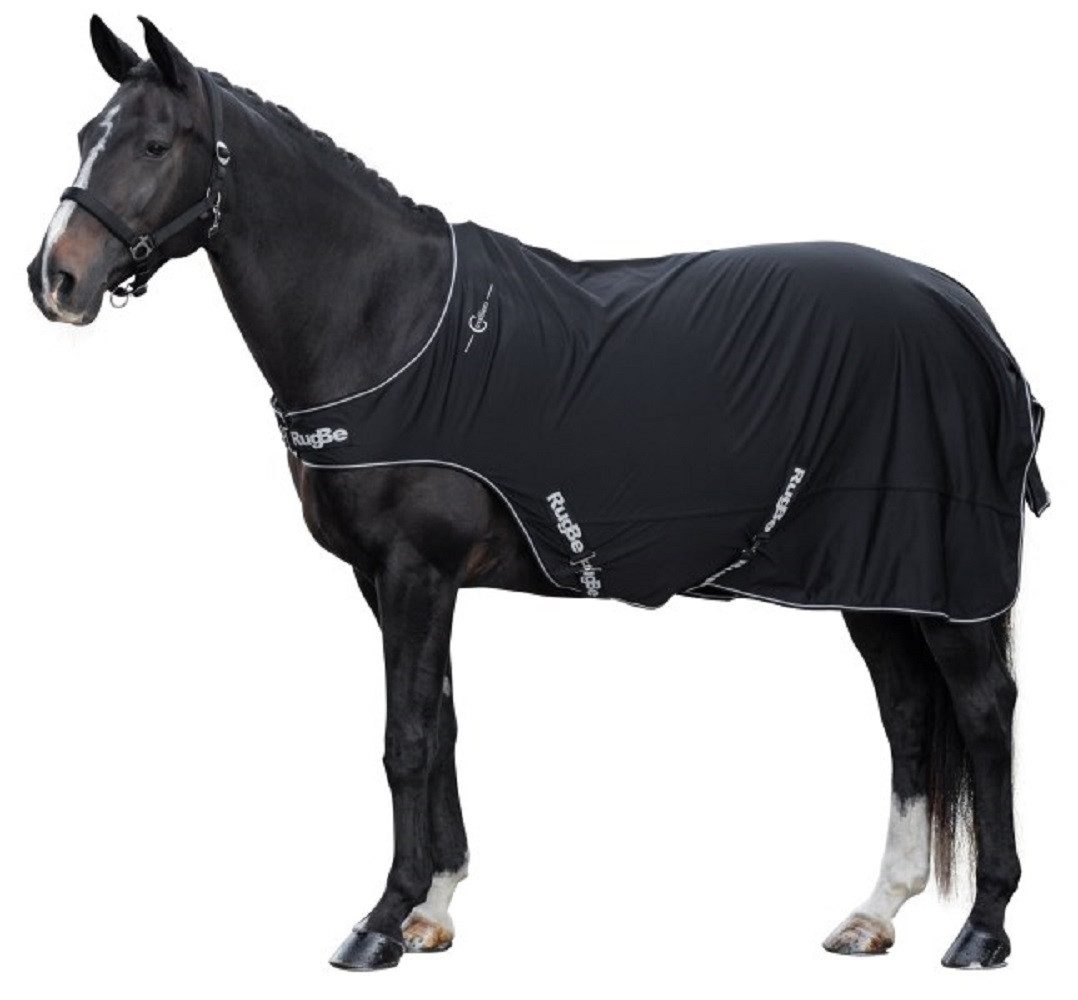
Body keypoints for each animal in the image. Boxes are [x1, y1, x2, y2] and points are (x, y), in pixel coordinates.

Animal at [28, 16, 1047, 972]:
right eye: (85, 133)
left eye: (155, 144)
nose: (55, 278)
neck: (388, 320)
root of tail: (970, 318)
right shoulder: (395, 579)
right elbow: (440, 725)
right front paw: (432, 909)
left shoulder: (414, 570)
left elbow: (405, 737)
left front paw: (378, 921)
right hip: (874, 575)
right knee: (908, 712)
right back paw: (877, 911)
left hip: (936, 576)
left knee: (983, 709)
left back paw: (984, 928)